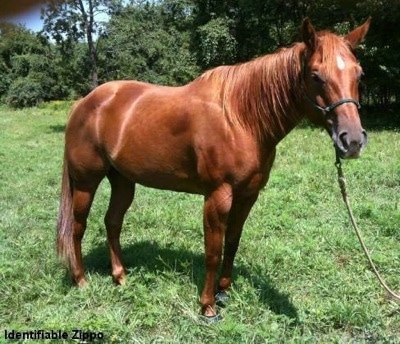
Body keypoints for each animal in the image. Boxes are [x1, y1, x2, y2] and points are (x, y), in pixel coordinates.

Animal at [57, 18, 370, 320]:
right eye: (315, 76)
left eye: (359, 75)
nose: (353, 140)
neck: (240, 118)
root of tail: (84, 102)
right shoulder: (218, 197)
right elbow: (212, 252)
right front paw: (207, 306)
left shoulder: (248, 195)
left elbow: (232, 242)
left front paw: (223, 292)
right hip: (86, 182)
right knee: (78, 227)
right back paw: (80, 280)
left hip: (123, 181)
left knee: (112, 222)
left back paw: (120, 276)